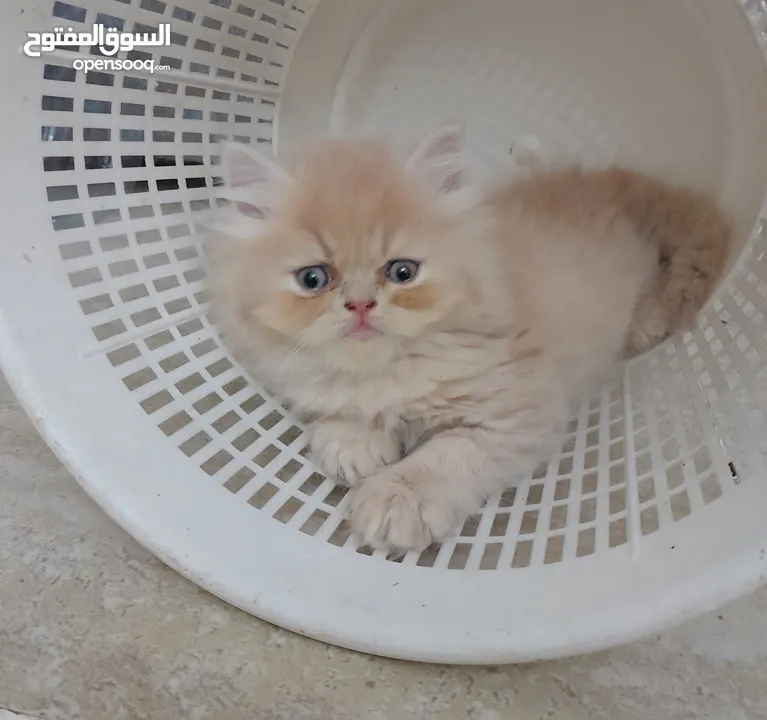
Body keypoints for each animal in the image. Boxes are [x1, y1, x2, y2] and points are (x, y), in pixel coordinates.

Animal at [207, 129, 736, 556]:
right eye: (313, 278)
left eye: (402, 272)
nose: (359, 305)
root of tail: (623, 183)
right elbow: (343, 407)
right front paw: (351, 443)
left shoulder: (513, 415)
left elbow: (444, 458)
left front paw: (394, 499)